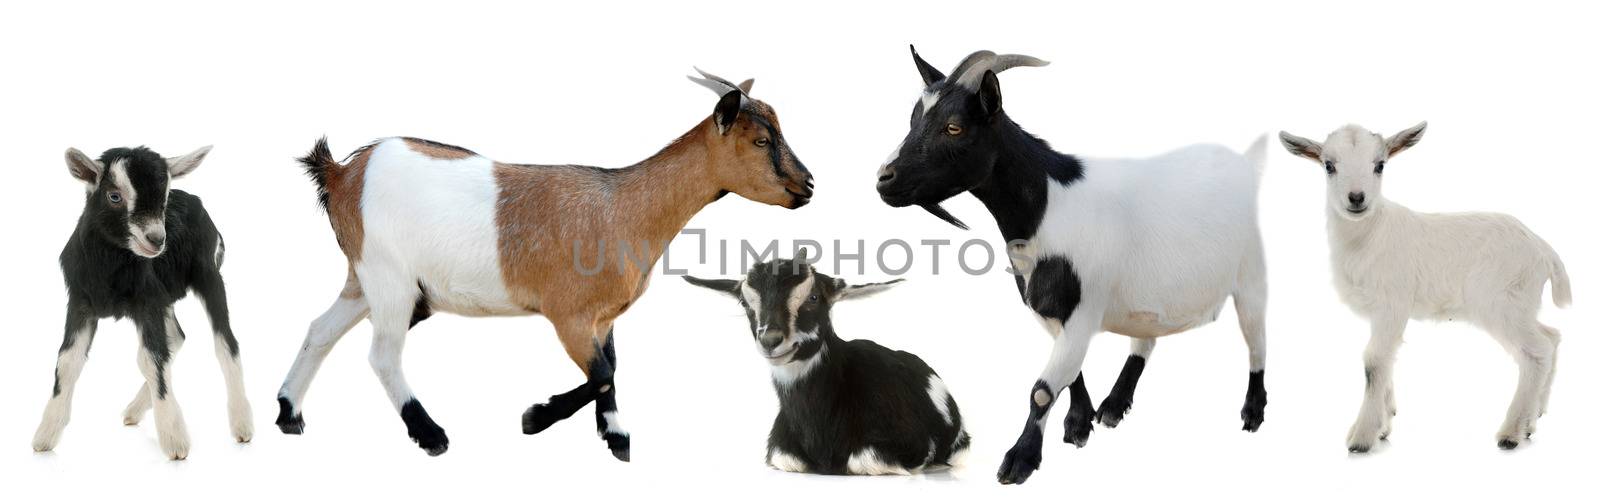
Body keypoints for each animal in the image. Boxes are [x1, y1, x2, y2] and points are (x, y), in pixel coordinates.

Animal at [32, 146, 251, 460]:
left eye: (165, 195)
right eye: (114, 196)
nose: (156, 240)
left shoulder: (148, 302)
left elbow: (151, 358)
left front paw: (174, 437)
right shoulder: (80, 302)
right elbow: (68, 360)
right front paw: (46, 434)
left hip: (209, 277)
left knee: (225, 343)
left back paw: (242, 423)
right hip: (167, 297)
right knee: (176, 337)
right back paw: (135, 410)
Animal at [273, 69, 812, 460]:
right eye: (761, 141)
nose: (807, 185)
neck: (624, 206)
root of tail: (342, 173)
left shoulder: (602, 317)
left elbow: (611, 368)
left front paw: (615, 436)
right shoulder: (568, 315)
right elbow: (601, 374)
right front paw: (536, 417)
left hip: (362, 276)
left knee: (320, 330)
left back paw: (288, 414)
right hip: (391, 279)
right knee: (383, 354)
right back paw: (430, 435)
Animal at [681, 256, 966, 476]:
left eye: (814, 297)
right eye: (744, 302)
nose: (770, 341)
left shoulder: (914, 443)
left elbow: (861, 458)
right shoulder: (780, 451)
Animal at [883, 48, 1267, 486]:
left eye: (953, 127)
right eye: (913, 119)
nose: (883, 179)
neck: (1049, 206)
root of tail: (1246, 163)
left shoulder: (1083, 307)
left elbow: (1042, 389)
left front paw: (1020, 460)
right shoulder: (1052, 310)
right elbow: (1071, 374)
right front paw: (1079, 424)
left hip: (1251, 274)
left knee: (1256, 341)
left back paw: (1253, 412)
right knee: (1146, 339)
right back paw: (1114, 405)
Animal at [1280, 123, 1568, 454]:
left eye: (1380, 165)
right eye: (1329, 165)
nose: (1356, 198)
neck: (1368, 235)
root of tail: (1543, 248)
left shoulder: (1393, 302)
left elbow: (1373, 361)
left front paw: (1362, 437)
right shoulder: (1380, 312)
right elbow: (1386, 357)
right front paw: (1383, 426)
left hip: (1502, 302)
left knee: (1537, 351)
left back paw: (1511, 432)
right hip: (1523, 303)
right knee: (1552, 337)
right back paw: (1534, 419)